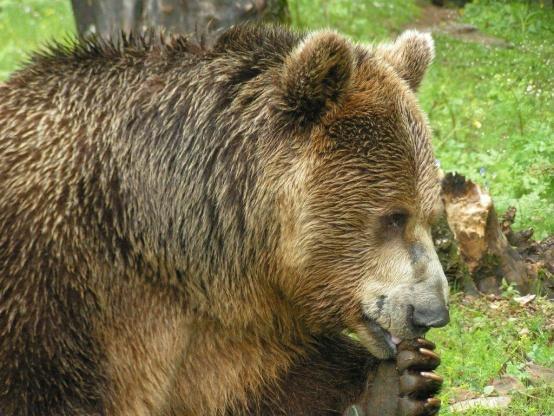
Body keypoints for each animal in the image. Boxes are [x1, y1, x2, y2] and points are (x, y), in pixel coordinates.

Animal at [0, 24, 448, 414]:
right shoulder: (57, 283)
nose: (431, 314)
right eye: (393, 216)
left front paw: (399, 386)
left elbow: (272, 381)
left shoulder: (223, 324)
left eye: (431, 215)